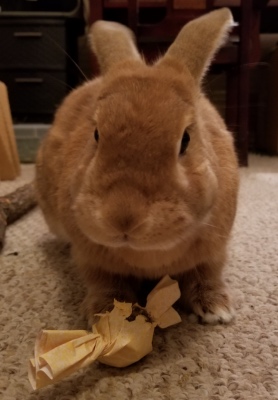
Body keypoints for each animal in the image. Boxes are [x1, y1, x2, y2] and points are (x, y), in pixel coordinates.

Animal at [34, 7, 239, 326]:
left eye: (186, 140)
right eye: (96, 134)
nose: (122, 217)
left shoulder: (215, 250)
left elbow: (207, 273)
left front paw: (217, 311)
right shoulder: (90, 259)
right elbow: (105, 282)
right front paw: (105, 314)